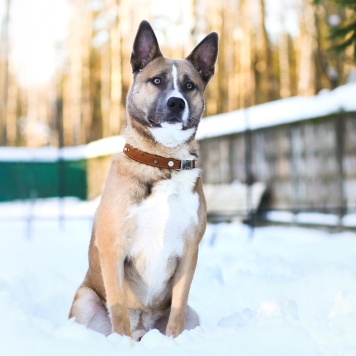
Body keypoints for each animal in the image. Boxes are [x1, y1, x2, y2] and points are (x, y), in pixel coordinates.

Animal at [67, 20, 217, 342]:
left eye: (189, 85)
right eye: (157, 81)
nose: (176, 103)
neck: (164, 162)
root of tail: (144, 329)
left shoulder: (190, 250)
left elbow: (178, 309)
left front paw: (173, 343)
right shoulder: (113, 248)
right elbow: (119, 309)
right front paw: (122, 344)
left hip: (194, 316)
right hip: (85, 299)